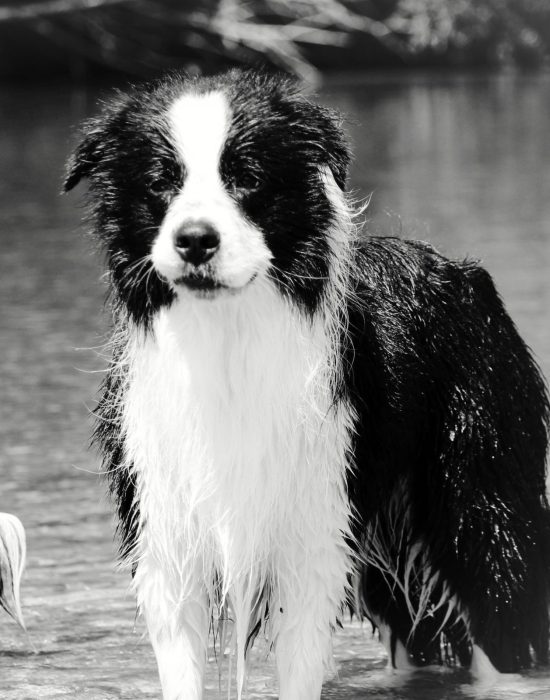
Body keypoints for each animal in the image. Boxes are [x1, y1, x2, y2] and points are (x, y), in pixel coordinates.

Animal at [66, 67, 550, 700]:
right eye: (160, 182)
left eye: (247, 177)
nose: (194, 239)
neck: (228, 337)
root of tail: (464, 273)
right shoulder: (167, 537)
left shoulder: (311, 532)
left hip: (481, 501)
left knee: (500, 614)